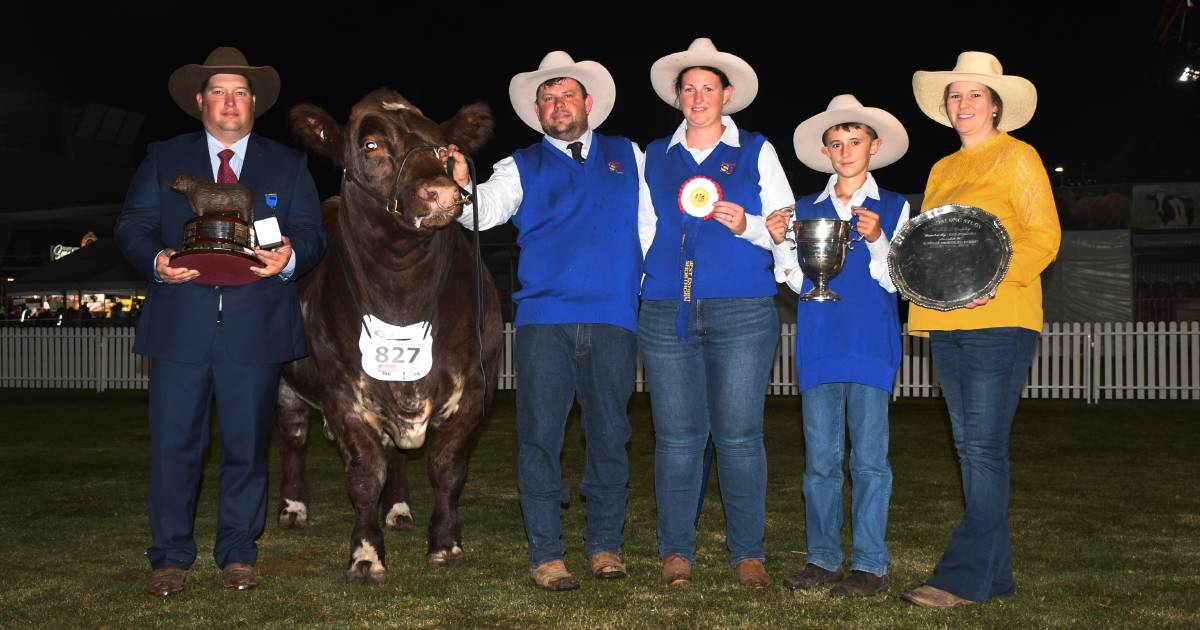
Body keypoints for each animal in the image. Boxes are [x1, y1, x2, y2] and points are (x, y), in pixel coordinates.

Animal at [276, 87, 501, 580]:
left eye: (442, 146)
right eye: (371, 144)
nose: (441, 191)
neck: (402, 294)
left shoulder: (477, 386)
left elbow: (446, 465)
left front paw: (445, 543)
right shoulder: (342, 391)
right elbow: (364, 472)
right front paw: (365, 554)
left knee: (396, 451)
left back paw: (398, 510)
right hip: (286, 380)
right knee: (294, 434)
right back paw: (293, 507)